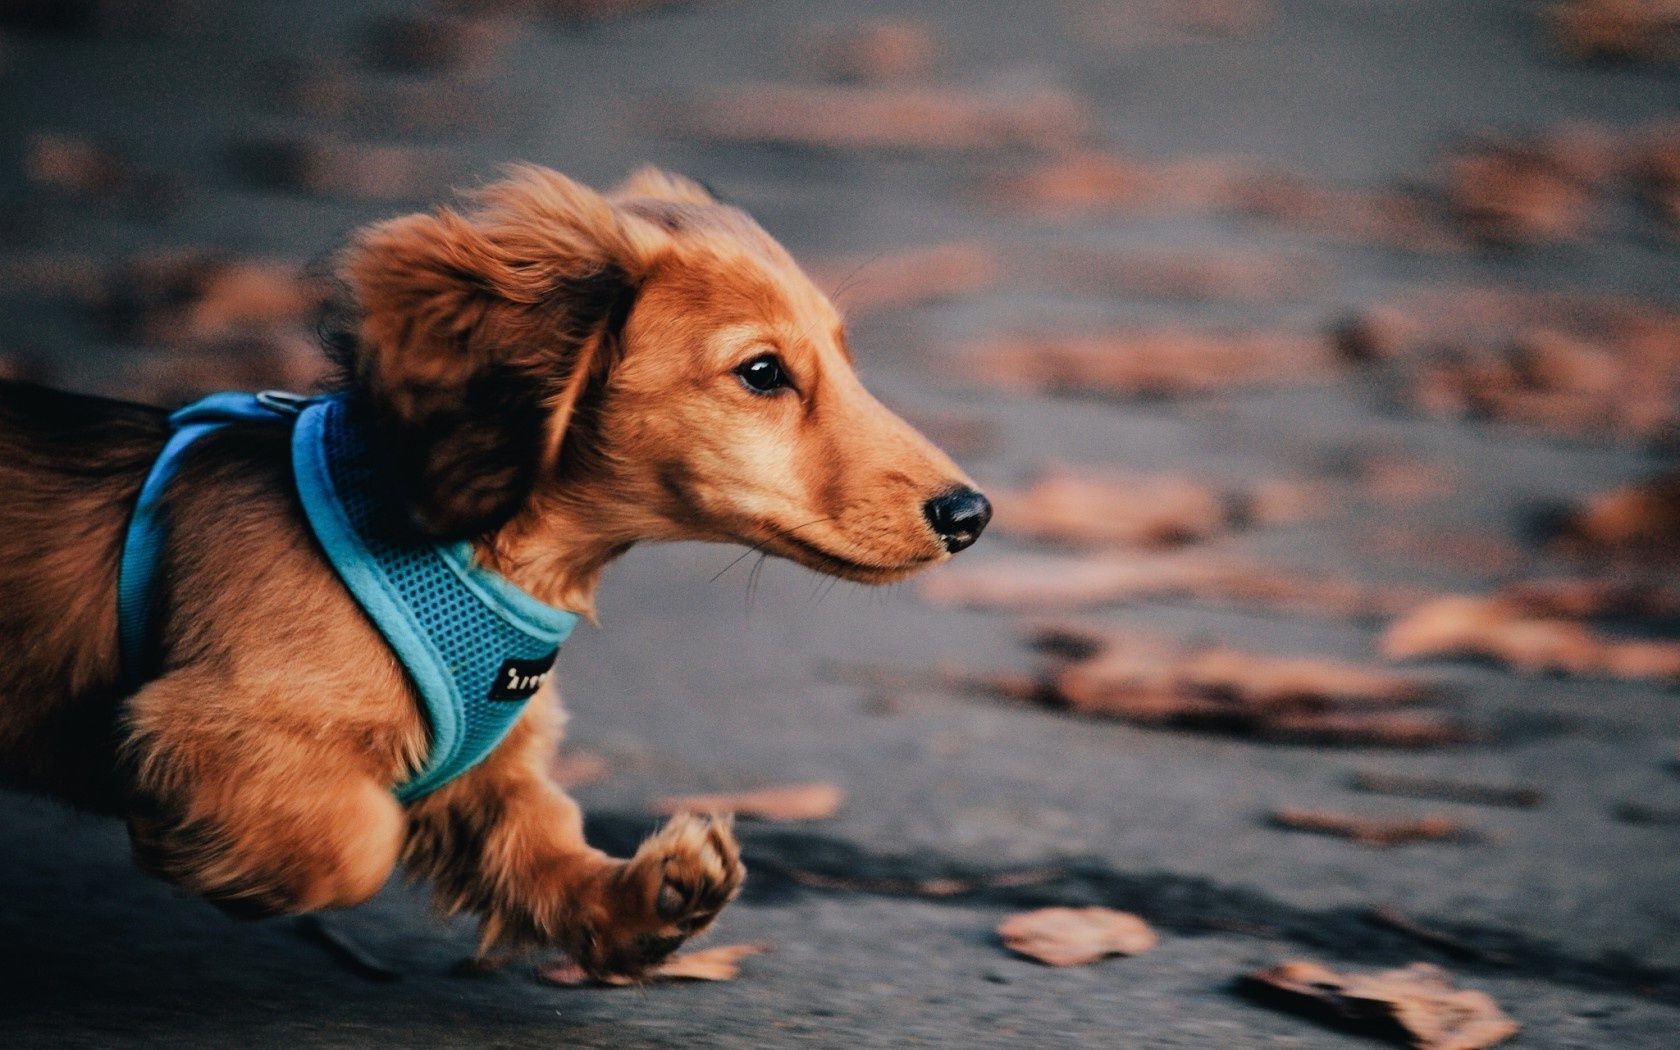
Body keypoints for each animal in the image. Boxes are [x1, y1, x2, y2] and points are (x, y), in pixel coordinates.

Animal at [0, 168, 987, 981]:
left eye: (846, 360)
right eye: (761, 372)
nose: (971, 515)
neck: (468, 553)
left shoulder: (494, 775)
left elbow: (541, 847)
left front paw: (647, 902)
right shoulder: (197, 719)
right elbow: (361, 834)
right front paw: (218, 856)